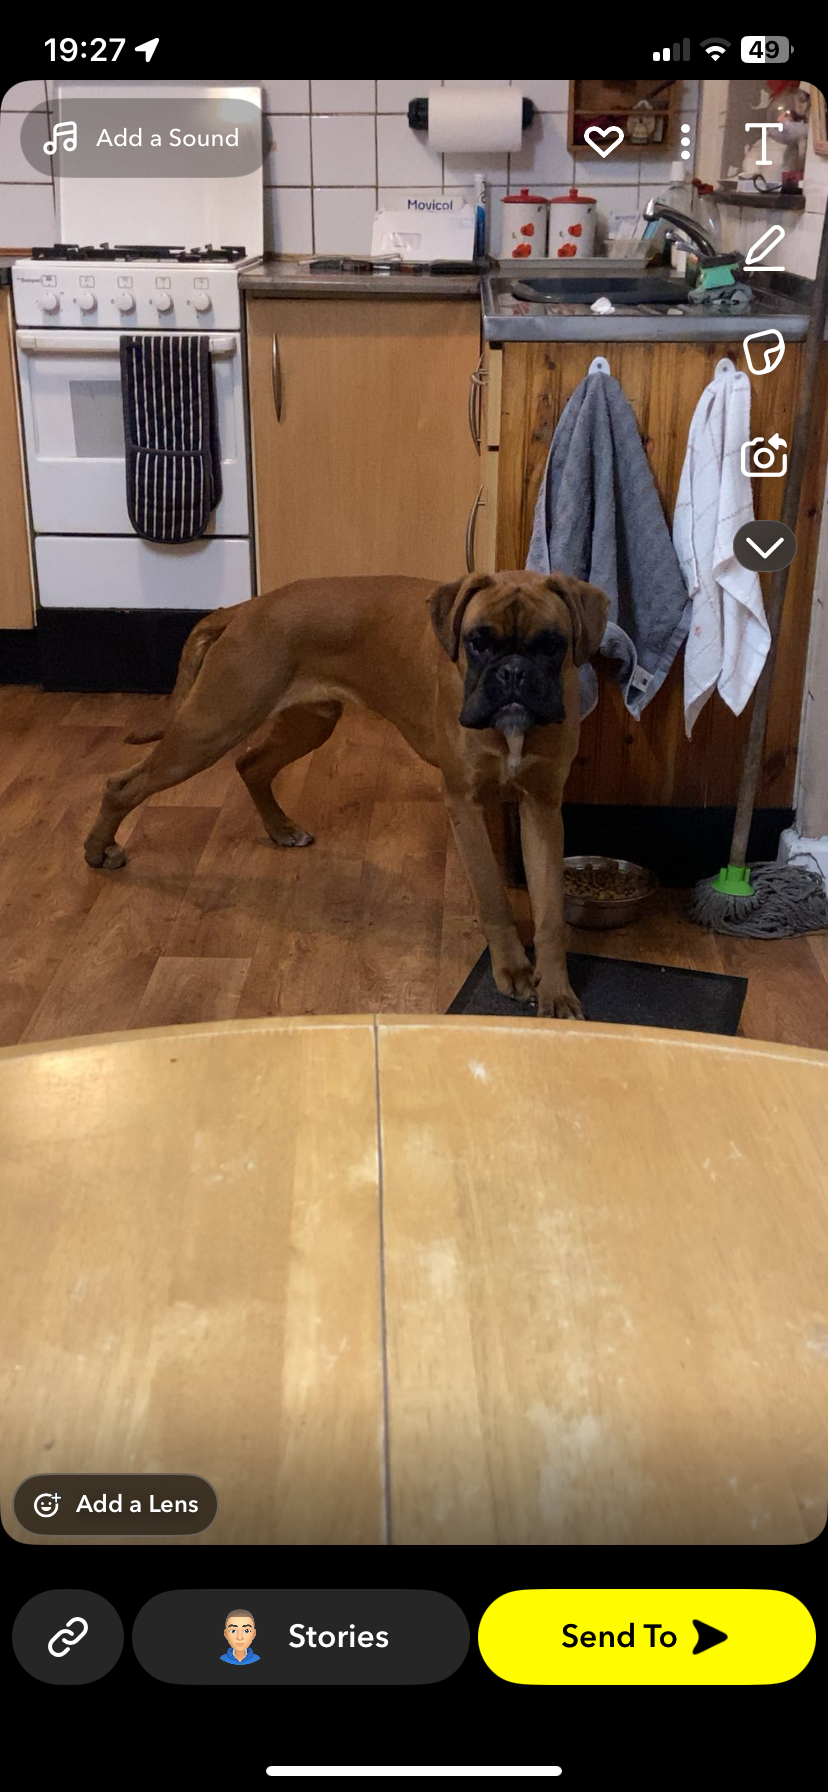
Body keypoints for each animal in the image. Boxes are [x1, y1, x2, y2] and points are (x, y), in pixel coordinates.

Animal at [84, 570, 608, 1018]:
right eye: (478, 642)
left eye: (552, 644)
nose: (513, 672)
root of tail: (244, 607)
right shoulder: (466, 803)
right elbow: (494, 896)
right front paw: (514, 968)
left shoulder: (543, 808)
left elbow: (550, 912)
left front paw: (556, 990)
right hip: (208, 729)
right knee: (122, 784)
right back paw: (97, 849)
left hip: (307, 722)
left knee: (251, 765)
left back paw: (281, 828)